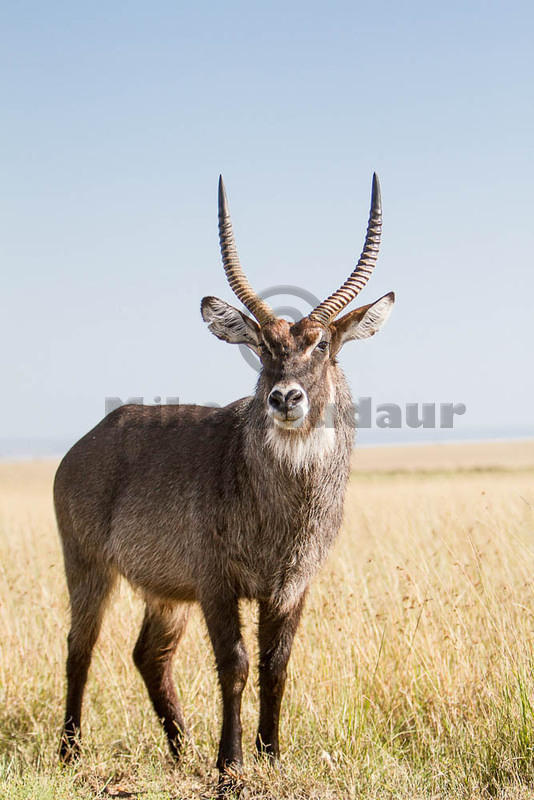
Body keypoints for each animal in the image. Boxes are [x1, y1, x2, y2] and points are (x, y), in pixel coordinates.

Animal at [54, 173, 396, 780]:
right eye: (263, 346)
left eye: (322, 344)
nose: (285, 397)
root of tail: (84, 442)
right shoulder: (215, 581)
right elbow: (234, 664)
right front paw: (231, 765)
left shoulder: (293, 585)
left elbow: (276, 666)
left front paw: (270, 754)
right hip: (88, 564)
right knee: (80, 645)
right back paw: (70, 751)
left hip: (164, 590)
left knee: (149, 655)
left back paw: (180, 748)